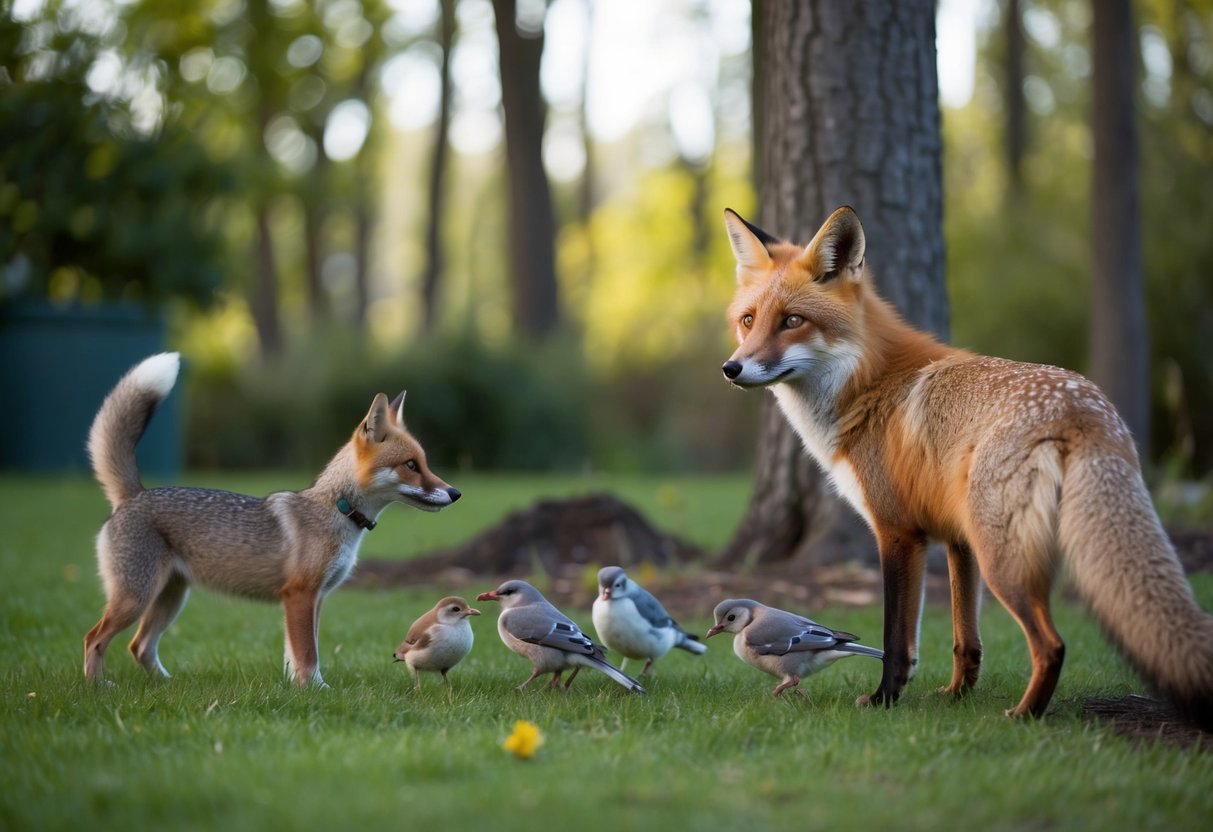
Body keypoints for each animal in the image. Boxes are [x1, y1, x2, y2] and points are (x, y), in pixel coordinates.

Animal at [83, 352, 461, 687]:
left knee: (139, 647)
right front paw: (316, 691)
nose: (455, 493)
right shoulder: (299, 595)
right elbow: (307, 655)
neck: (337, 510)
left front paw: (299, 690)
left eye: (425, 463)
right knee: (94, 639)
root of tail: (133, 494)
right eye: (411, 465)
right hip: (135, 599)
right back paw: (97, 688)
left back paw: (167, 685)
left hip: (169, 599)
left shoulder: (316, 599)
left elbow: (298, 656)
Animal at [720, 205, 1213, 727]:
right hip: (998, 547)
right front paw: (957, 694)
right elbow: (965, 637)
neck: (866, 384)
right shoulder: (956, 539)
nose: (732, 368)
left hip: (1004, 562)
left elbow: (897, 639)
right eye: (748, 320)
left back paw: (1024, 715)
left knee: (1052, 644)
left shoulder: (898, 532)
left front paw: (885, 698)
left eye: (793, 320)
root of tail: (1083, 407)